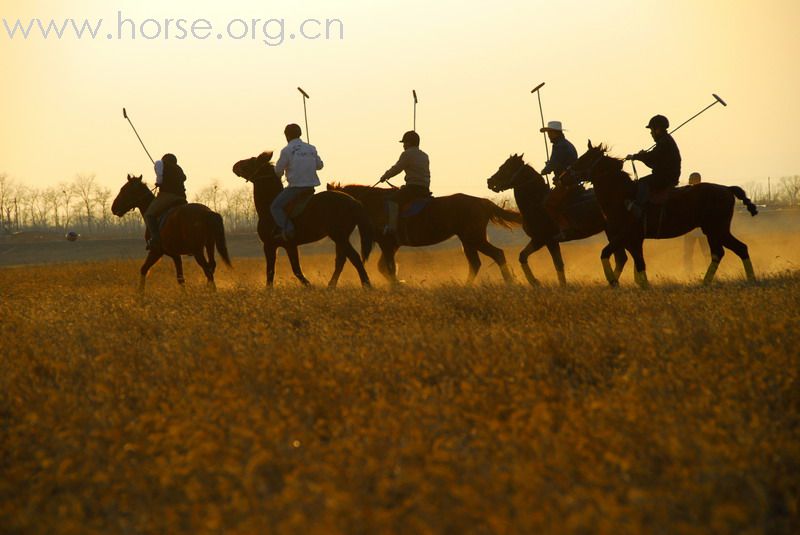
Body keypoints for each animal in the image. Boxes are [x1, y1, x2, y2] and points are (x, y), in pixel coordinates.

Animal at [228, 151, 372, 288]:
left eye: (252, 161)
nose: (235, 165)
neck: (268, 206)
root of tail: (354, 202)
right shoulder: (289, 246)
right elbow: (295, 269)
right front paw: (310, 286)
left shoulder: (270, 245)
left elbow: (273, 271)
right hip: (341, 237)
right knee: (341, 260)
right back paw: (332, 286)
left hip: (339, 236)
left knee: (354, 258)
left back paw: (367, 285)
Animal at [484, 154, 628, 286]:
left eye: (505, 168)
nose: (489, 181)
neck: (537, 203)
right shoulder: (539, 240)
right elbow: (523, 256)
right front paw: (535, 282)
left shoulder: (546, 240)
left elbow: (557, 264)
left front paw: (554, 284)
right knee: (620, 258)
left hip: (612, 231)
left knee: (620, 258)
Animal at [568, 140, 756, 286]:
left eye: (585, 158)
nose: (564, 176)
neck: (622, 196)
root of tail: (727, 189)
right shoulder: (631, 240)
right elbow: (636, 263)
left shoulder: (627, 236)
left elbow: (611, 255)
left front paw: (615, 281)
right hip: (712, 231)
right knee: (721, 252)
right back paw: (706, 282)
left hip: (717, 229)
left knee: (738, 249)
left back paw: (750, 280)